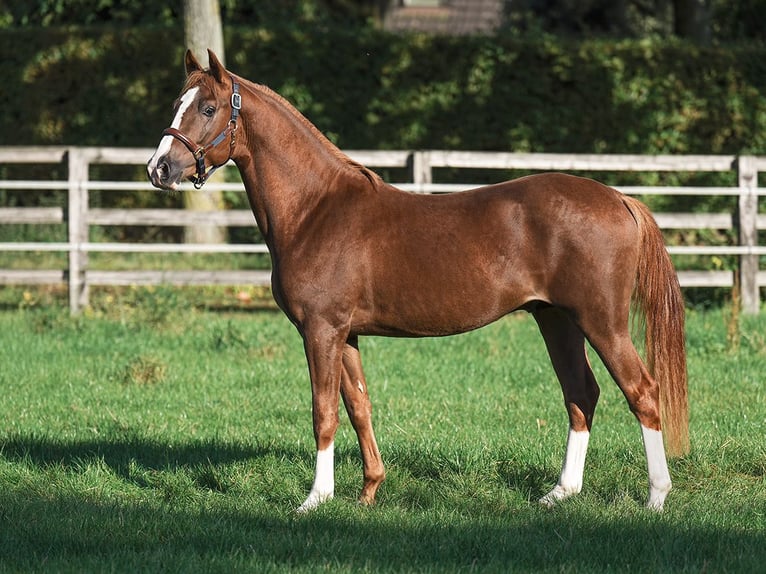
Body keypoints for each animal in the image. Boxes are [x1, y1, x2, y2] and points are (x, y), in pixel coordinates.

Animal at [148, 50, 688, 512]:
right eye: (177, 104)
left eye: (209, 107)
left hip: (601, 321)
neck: (317, 209)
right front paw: (368, 491)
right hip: (556, 319)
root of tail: (619, 199)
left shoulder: (321, 330)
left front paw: (314, 499)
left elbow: (324, 412)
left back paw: (656, 497)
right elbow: (358, 407)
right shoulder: (346, 335)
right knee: (581, 394)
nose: (159, 168)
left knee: (642, 391)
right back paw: (560, 493)